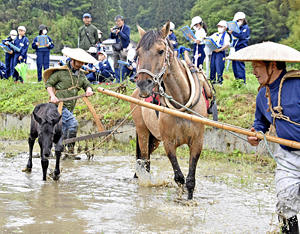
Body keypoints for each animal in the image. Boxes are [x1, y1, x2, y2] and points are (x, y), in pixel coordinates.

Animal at [131, 21, 209, 199]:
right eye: (138, 53)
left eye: (161, 51)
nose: (143, 84)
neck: (181, 104)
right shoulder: (168, 143)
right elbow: (179, 177)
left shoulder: (197, 142)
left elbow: (190, 180)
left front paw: (188, 198)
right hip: (143, 132)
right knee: (145, 161)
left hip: (154, 139)